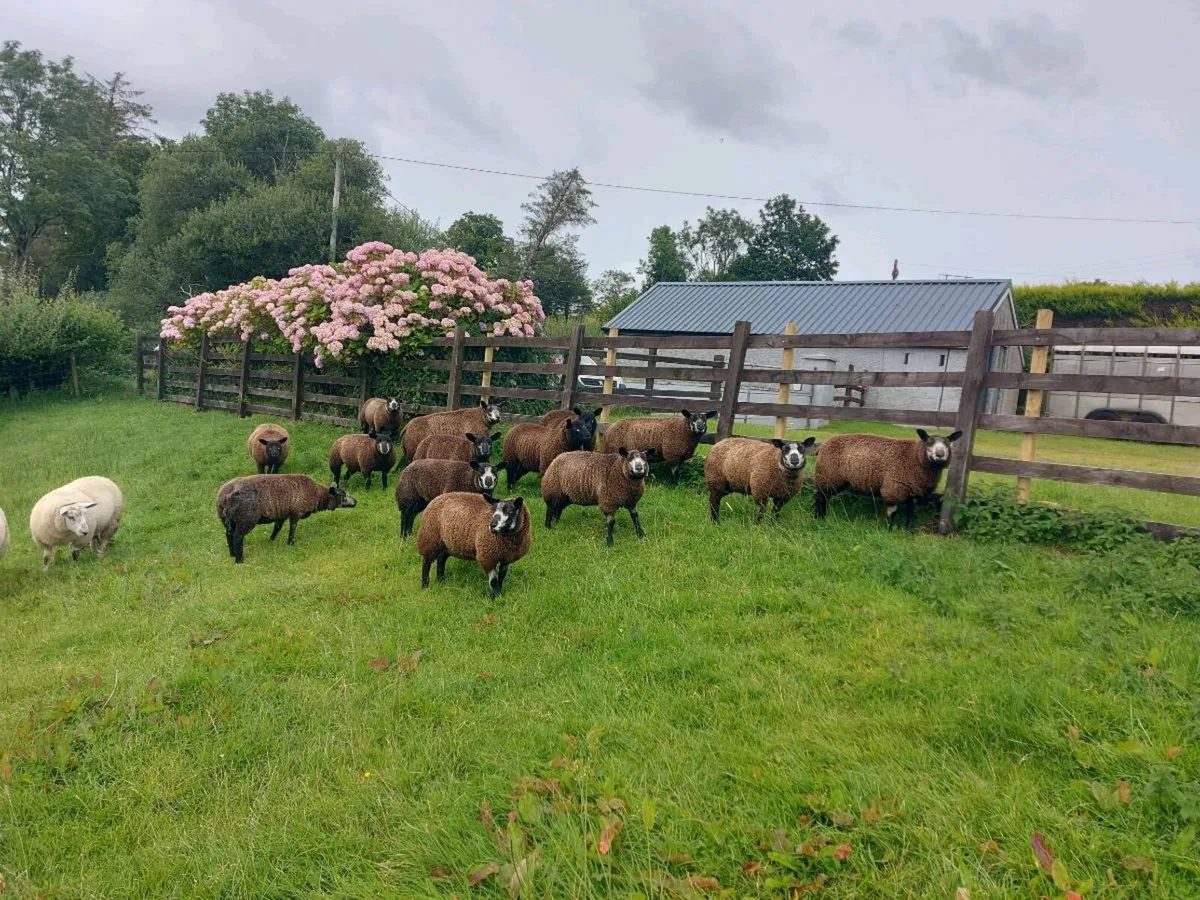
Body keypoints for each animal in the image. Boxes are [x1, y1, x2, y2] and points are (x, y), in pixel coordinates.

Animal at [216, 474, 356, 563]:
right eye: (342, 495)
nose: (356, 501)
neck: (317, 494)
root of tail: (225, 497)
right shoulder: (296, 512)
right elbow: (293, 527)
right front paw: (291, 542)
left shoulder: (281, 514)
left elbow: (277, 528)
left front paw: (271, 540)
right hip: (246, 519)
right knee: (237, 537)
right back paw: (239, 560)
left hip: (227, 519)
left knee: (228, 534)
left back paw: (232, 554)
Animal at [812, 428, 963, 530]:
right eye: (929, 442)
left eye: (948, 443)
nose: (940, 454)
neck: (915, 457)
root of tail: (822, 446)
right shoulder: (893, 487)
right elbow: (892, 512)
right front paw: (888, 529)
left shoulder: (914, 490)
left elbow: (911, 511)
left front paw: (909, 530)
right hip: (827, 475)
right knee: (820, 497)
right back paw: (819, 518)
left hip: (834, 479)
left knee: (824, 497)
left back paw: (823, 516)